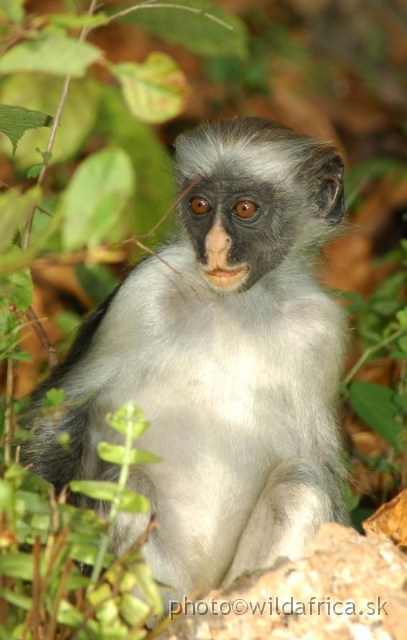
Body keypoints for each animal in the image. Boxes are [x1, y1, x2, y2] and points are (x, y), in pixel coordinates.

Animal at [22, 116, 350, 608]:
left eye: (245, 209)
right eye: (199, 205)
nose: (214, 246)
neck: (233, 307)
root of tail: (198, 590)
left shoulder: (321, 331)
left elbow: (318, 465)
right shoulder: (142, 293)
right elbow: (62, 410)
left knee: (300, 484)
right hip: (165, 581)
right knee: (128, 485)